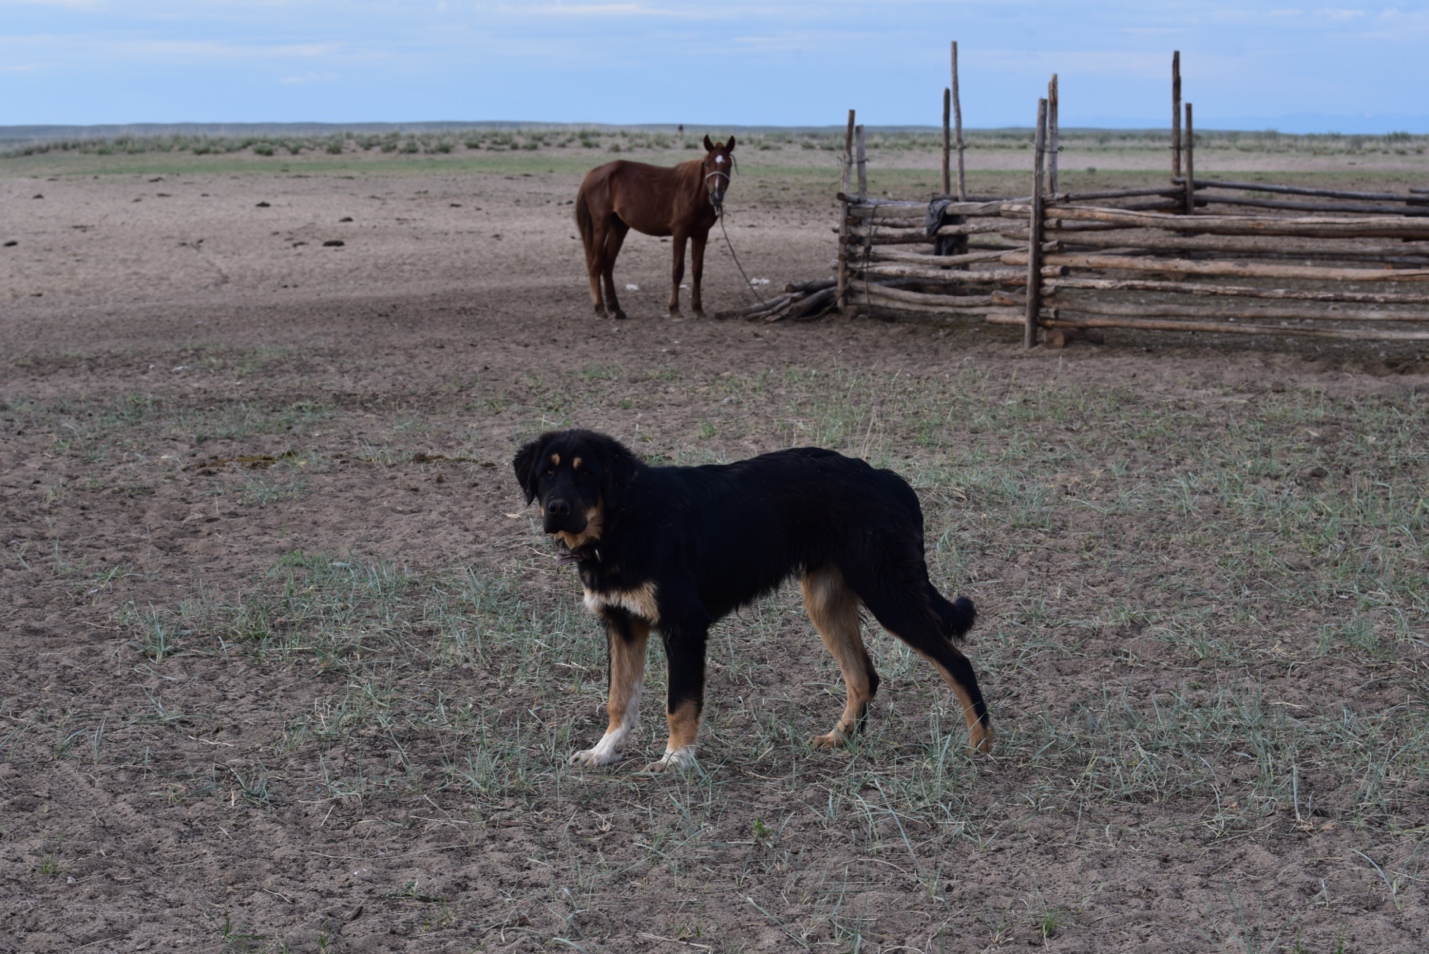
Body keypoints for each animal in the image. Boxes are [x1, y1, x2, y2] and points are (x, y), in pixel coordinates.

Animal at [514, 428, 994, 771]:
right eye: (547, 473)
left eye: (586, 473)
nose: (556, 508)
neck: (622, 522)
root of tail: (885, 477)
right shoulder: (623, 624)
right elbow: (619, 700)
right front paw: (604, 752)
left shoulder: (684, 626)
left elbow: (679, 703)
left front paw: (676, 759)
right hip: (825, 601)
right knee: (864, 677)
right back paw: (839, 739)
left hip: (889, 593)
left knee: (957, 664)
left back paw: (981, 745)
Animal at [577, 134, 743, 319]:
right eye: (707, 163)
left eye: (728, 164)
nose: (716, 196)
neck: (693, 193)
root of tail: (593, 173)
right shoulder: (680, 233)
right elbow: (677, 270)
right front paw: (674, 308)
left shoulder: (701, 235)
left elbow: (697, 270)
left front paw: (698, 308)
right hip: (601, 225)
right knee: (595, 263)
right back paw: (600, 308)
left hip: (619, 227)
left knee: (607, 264)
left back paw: (616, 308)